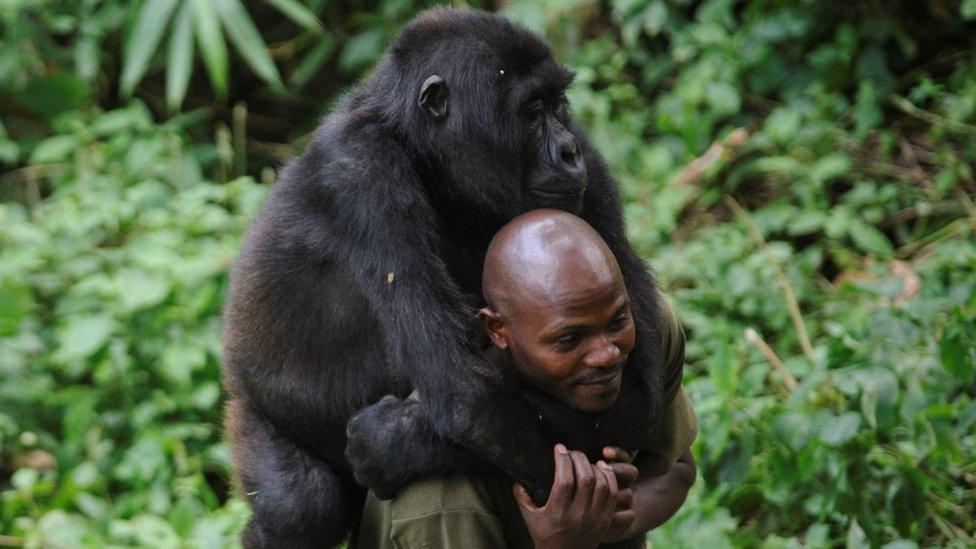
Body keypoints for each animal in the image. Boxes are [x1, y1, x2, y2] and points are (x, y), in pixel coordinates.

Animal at [221, 6, 668, 544]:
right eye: (530, 111)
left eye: (558, 105)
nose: (567, 151)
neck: (420, 148)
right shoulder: (362, 172)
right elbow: (469, 399)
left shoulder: (591, 173)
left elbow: (638, 390)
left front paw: (394, 443)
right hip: (248, 409)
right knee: (299, 505)